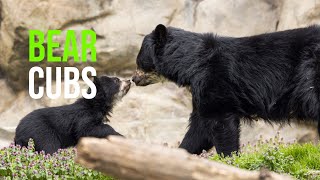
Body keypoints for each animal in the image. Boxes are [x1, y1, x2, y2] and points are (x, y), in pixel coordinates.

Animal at [132, 23, 320, 156]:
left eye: (139, 62)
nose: (133, 79)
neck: (191, 64)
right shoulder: (200, 88)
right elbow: (199, 128)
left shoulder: (214, 79)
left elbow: (220, 121)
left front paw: (231, 159)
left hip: (309, 74)